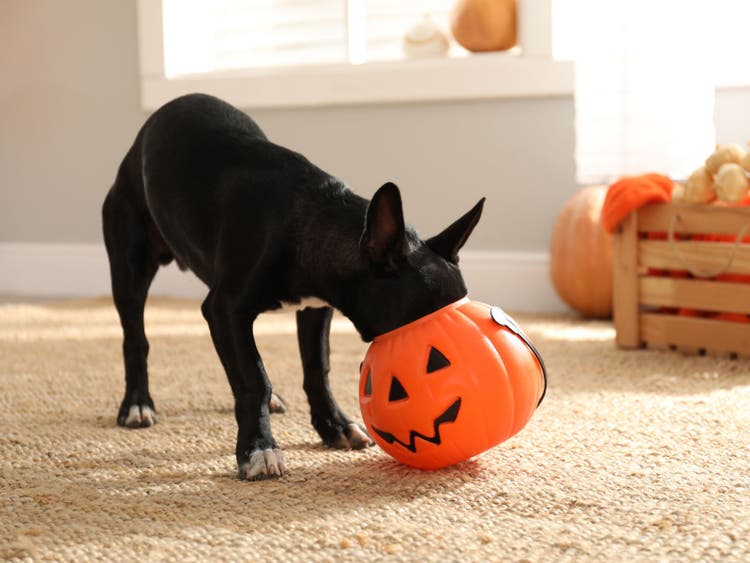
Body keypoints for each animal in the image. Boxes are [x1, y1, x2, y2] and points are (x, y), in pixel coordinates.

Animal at [103, 92, 484, 480]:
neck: (310, 219)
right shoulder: (225, 309)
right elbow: (254, 378)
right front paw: (258, 448)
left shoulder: (316, 308)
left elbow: (316, 368)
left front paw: (334, 426)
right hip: (130, 266)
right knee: (135, 338)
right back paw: (137, 404)